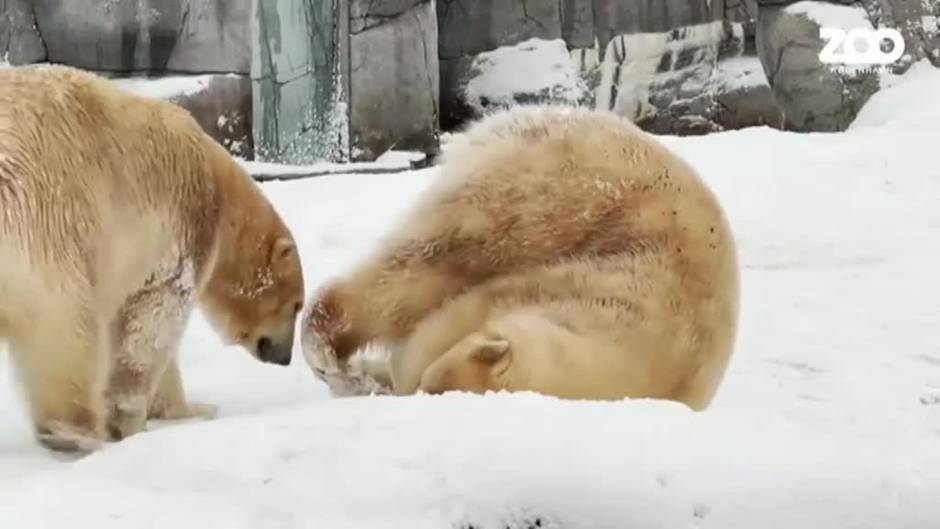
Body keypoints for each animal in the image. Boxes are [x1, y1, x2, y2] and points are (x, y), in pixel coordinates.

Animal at [0, 63, 304, 450]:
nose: (285, 358)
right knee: (65, 330)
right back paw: (74, 433)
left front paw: (183, 408)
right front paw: (147, 416)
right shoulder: (181, 223)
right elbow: (156, 320)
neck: (218, 184)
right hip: (47, 225)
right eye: (296, 305)